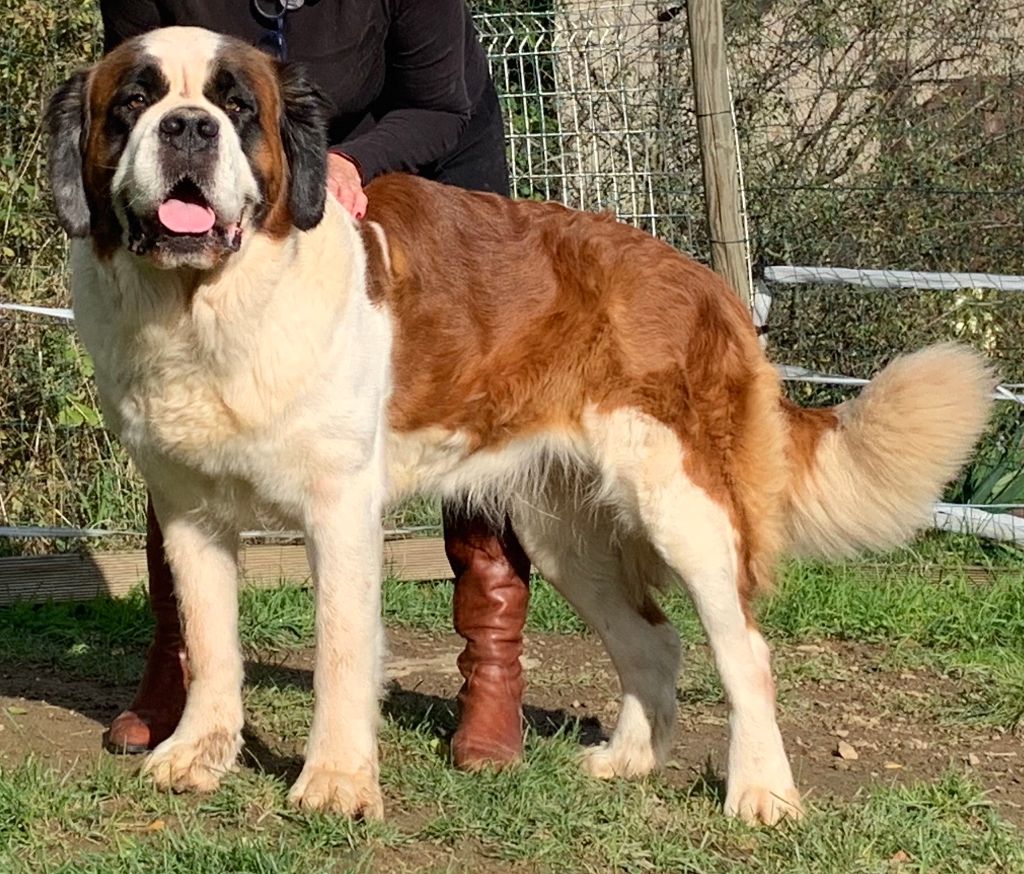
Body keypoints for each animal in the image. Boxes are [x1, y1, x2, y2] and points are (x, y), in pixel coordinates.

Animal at [46, 23, 991, 822]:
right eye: (133, 102)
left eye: (238, 107)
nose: (189, 128)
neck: (208, 307)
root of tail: (705, 280)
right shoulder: (190, 512)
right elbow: (208, 643)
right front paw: (195, 755)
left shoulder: (339, 510)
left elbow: (342, 651)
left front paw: (338, 782)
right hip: (565, 529)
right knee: (653, 643)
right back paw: (626, 762)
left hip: (684, 507)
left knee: (744, 652)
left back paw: (761, 792)